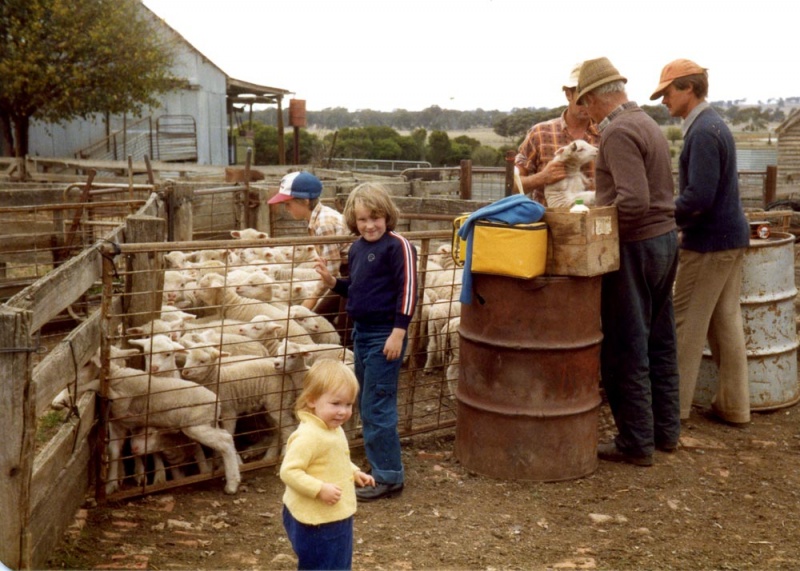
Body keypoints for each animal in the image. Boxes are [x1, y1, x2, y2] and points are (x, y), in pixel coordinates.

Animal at [52, 344, 241, 496]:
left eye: (86, 363)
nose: (70, 381)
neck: (117, 375)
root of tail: (216, 402)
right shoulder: (118, 423)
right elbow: (114, 452)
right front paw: (111, 485)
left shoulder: (122, 399)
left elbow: (93, 385)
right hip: (207, 423)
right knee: (225, 436)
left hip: (196, 425)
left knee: (225, 440)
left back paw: (232, 483)